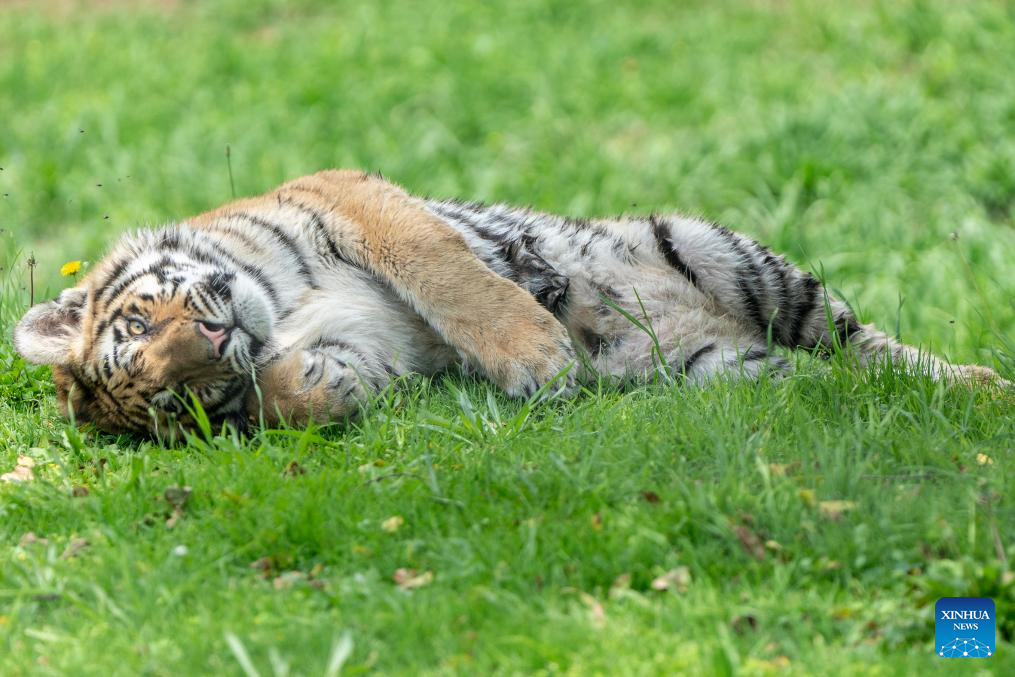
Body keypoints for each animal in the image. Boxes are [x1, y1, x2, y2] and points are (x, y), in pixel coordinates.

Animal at [12, 169, 1006, 435]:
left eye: (140, 320)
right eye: (175, 397)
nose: (218, 343)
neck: (277, 311)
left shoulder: (349, 196)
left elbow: (445, 270)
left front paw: (535, 352)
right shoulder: (361, 350)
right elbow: (312, 392)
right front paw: (297, 388)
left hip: (721, 252)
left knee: (865, 345)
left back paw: (979, 385)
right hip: (728, 369)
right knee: (831, 385)